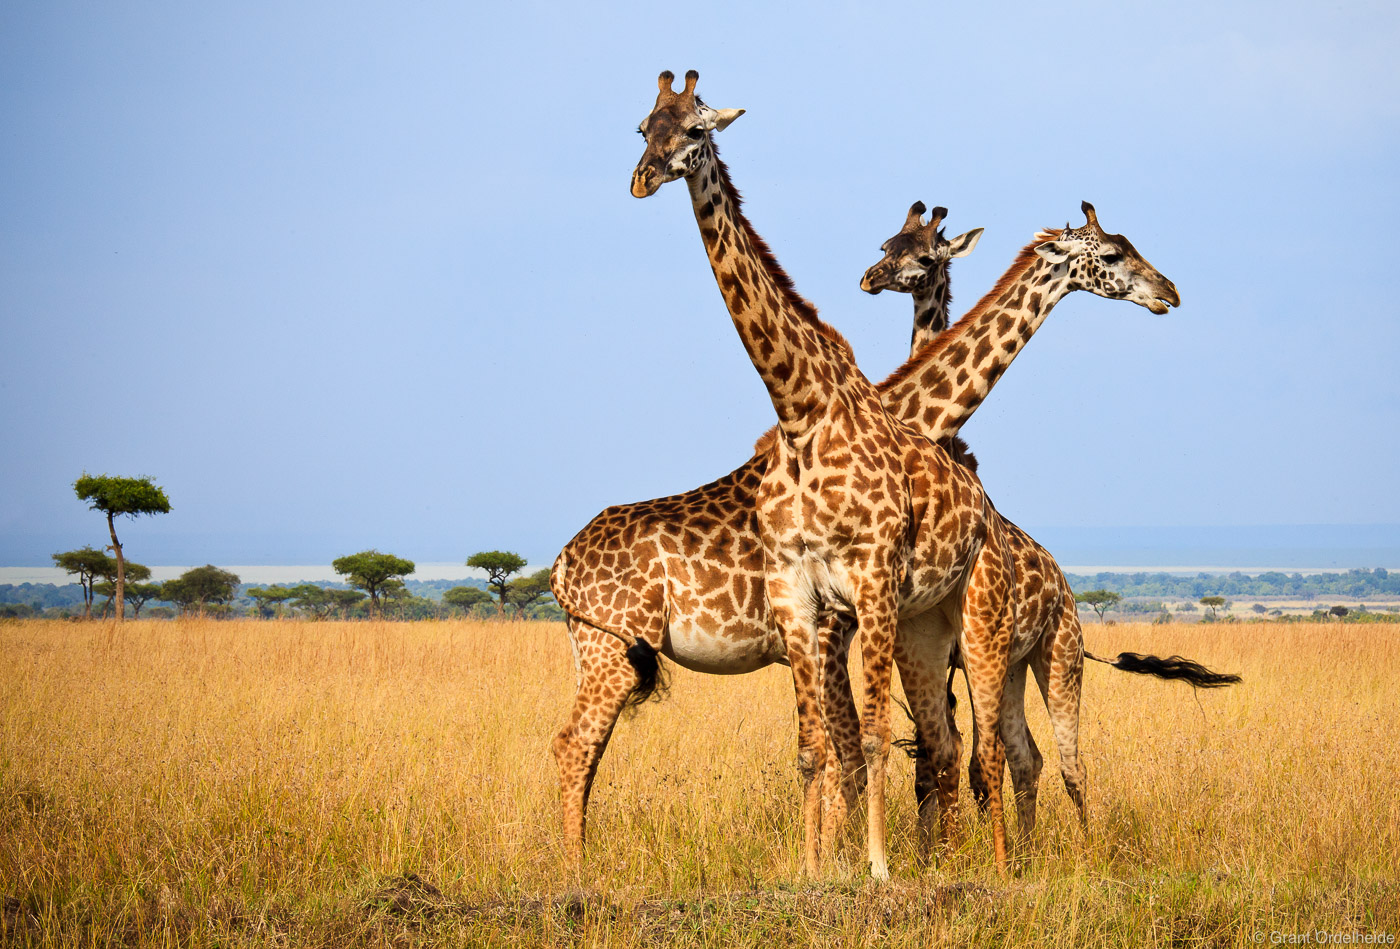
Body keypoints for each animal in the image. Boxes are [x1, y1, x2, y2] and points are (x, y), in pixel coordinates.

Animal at [632, 68, 1019, 884]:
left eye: (695, 130)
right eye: (642, 126)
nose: (642, 179)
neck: (801, 409)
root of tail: (984, 506)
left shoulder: (869, 581)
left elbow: (866, 739)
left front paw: (876, 867)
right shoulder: (795, 589)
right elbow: (815, 749)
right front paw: (812, 869)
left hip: (974, 610)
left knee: (986, 741)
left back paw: (999, 865)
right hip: (921, 625)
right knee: (943, 741)